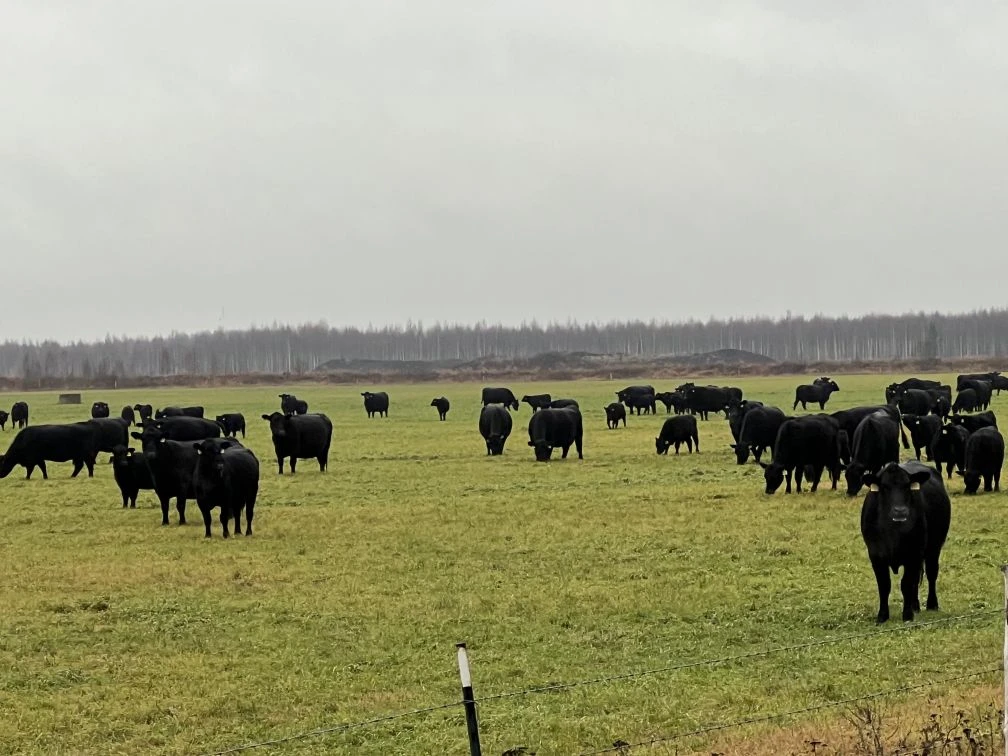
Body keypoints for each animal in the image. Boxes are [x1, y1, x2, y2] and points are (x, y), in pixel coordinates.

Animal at [860, 461, 950, 623]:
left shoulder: (914, 554)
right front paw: (882, 616)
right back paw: (915, 605)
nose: (900, 511)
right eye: (884, 486)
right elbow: (884, 585)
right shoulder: (876, 555)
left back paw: (931, 604)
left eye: (907, 486)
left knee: (931, 573)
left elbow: (906, 584)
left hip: (934, 548)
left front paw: (907, 615)